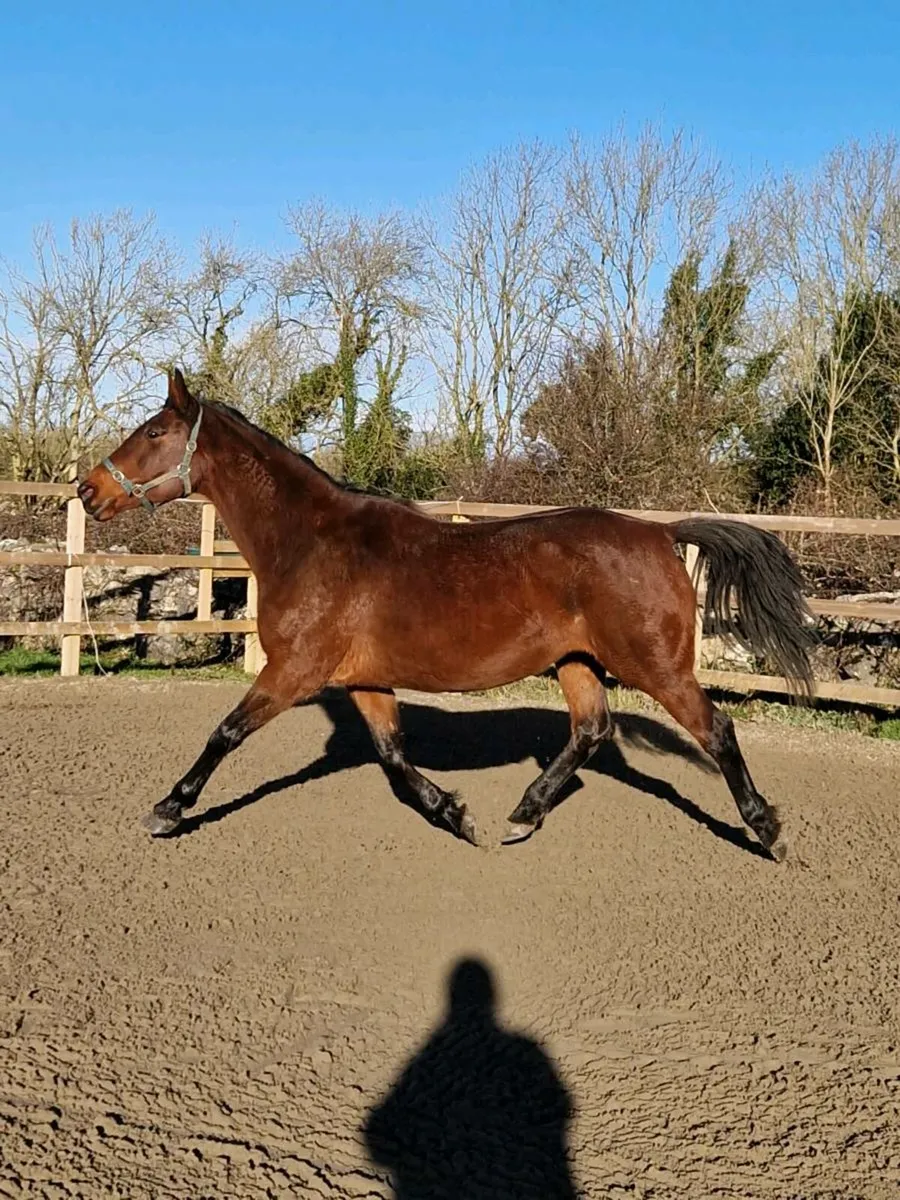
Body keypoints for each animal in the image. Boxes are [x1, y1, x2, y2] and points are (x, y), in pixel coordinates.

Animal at [77, 369, 815, 860]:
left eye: (153, 432)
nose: (88, 489)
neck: (313, 543)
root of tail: (661, 533)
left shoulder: (294, 672)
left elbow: (225, 733)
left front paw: (168, 809)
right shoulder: (364, 679)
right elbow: (393, 757)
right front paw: (455, 814)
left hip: (656, 667)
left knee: (716, 730)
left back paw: (768, 832)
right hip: (577, 662)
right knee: (591, 731)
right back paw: (522, 814)